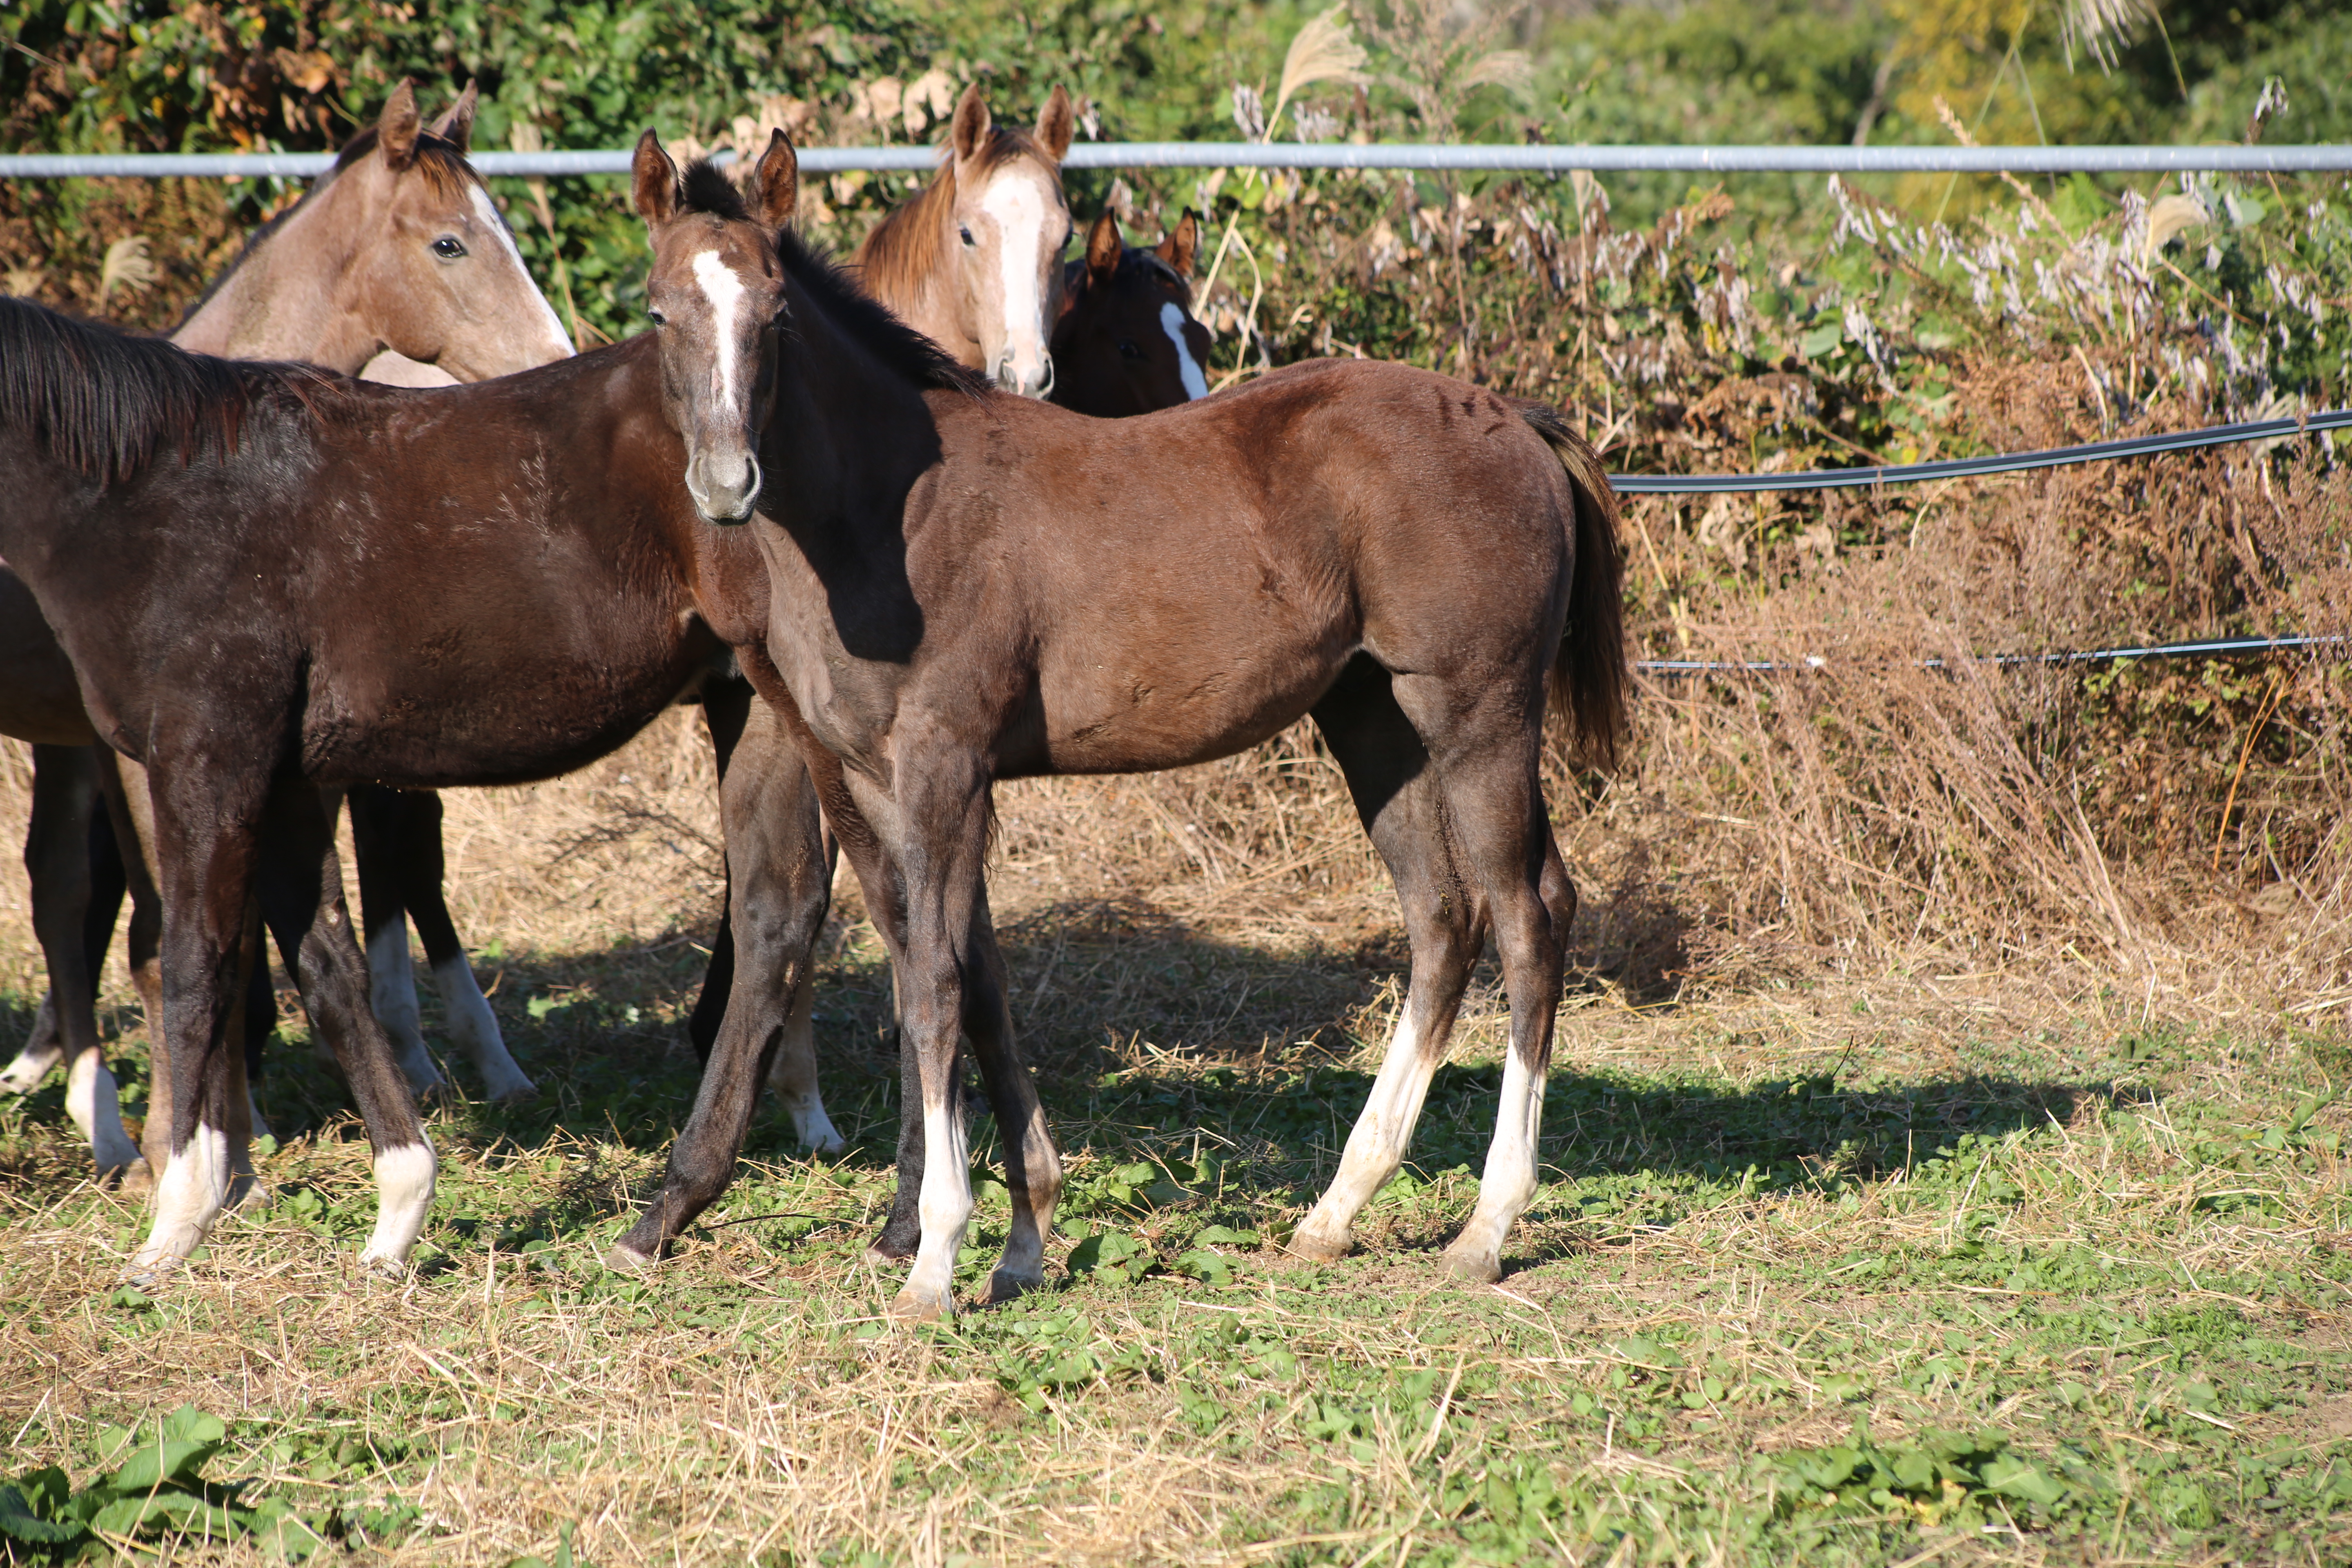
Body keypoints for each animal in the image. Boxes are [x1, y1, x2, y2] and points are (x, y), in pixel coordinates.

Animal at [616, 131, 1627, 1316]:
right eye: (657, 310)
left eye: (774, 312)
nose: (726, 482)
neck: (888, 513)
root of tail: (1516, 419)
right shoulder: (865, 782)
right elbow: (971, 984)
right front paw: (1019, 1241)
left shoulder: (942, 772)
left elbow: (934, 993)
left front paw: (935, 1256)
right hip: (1376, 722)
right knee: (1440, 921)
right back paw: (1333, 1213)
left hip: (1479, 716)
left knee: (1528, 915)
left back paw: (1484, 1226)